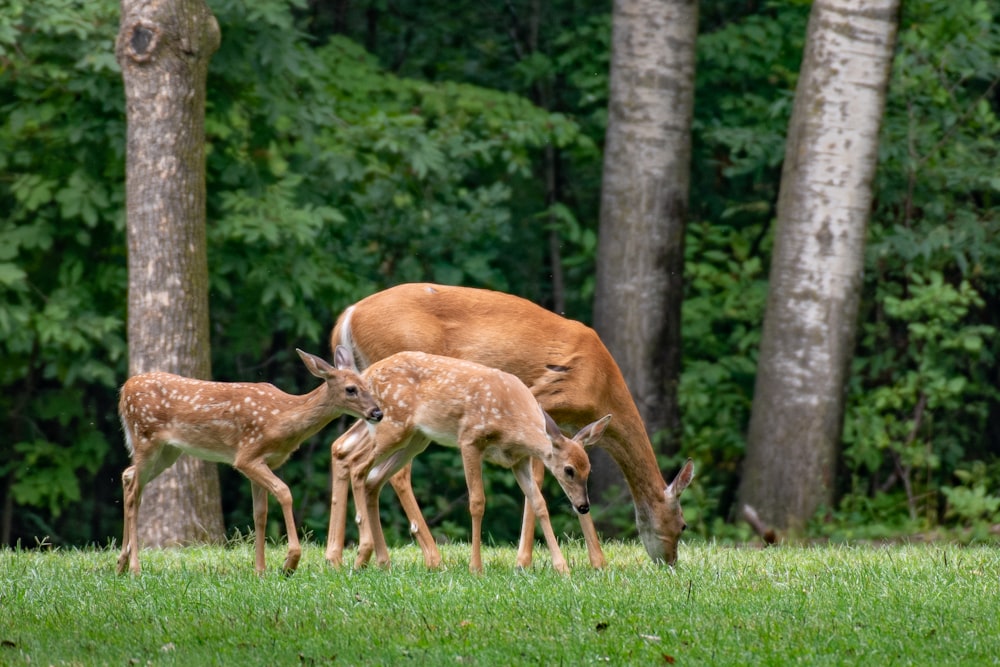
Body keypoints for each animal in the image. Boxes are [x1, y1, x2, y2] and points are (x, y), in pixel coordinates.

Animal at [116, 348, 382, 576]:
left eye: (367, 385)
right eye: (350, 389)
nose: (377, 413)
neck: (282, 417)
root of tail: (124, 390)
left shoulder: (262, 462)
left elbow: (260, 514)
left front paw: (260, 570)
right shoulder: (246, 455)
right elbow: (284, 492)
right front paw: (290, 562)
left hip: (168, 451)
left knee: (128, 476)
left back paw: (121, 564)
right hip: (145, 438)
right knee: (133, 493)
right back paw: (135, 568)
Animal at [334, 350, 608, 576]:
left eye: (589, 469)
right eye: (569, 470)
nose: (583, 506)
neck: (512, 422)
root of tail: (368, 373)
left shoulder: (518, 460)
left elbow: (539, 503)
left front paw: (562, 568)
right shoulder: (469, 440)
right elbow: (477, 502)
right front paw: (476, 567)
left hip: (415, 439)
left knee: (373, 479)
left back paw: (379, 561)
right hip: (392, 427)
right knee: (358, 465)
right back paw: (362, 554)